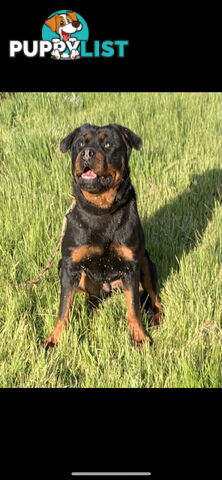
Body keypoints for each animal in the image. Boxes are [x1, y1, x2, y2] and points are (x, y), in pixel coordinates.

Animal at [43, 124, 161, 348]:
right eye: (80, 143)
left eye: (107, 145)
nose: (87, 153)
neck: (101, 210)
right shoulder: (70, 266)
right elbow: (63, 309)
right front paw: (53, 340)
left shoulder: (130, 265)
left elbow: (133, 308)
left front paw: (139, 337)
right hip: (67, 270)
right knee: (93, 299)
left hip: (145, 261)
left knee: (154, 295)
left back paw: (157, 317)